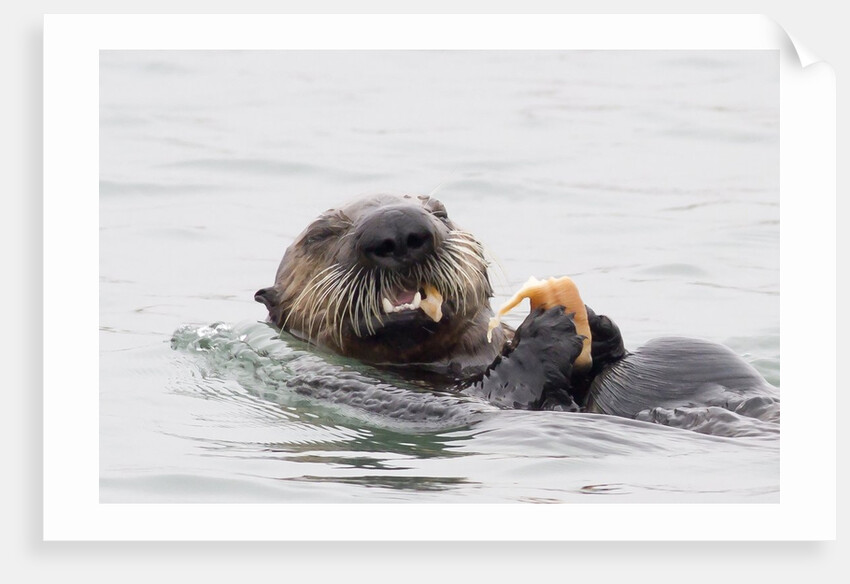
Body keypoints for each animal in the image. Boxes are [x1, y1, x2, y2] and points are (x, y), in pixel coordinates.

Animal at [255, 193, 778, 418]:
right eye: (321, 234)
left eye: (439, 211)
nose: (399, 229)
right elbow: (511, 387)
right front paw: (546, 331)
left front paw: (600, 328)